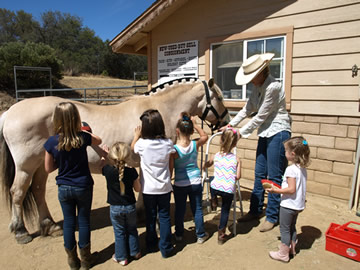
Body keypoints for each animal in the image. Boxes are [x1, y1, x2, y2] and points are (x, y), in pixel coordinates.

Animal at [0, 77, 229, 244]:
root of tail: (9, 112)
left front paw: (141, 213)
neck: (159, 111)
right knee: (18, 192)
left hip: (41, 165)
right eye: (218, 97)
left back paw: (50, 226)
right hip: (26, 166)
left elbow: (142, 187)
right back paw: (21, 231)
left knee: (38, 190)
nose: (226, 120)